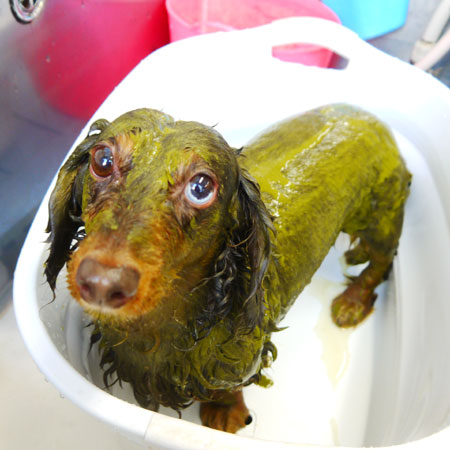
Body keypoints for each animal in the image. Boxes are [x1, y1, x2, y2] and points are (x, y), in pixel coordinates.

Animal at [45, 104, 411, 432]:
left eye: (201, 187)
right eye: (102, 161)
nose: (103, 282)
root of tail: (371, 115)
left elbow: (227, 386)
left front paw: (225, 410)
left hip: (379, 216)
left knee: (381, 261)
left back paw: (353, 301)